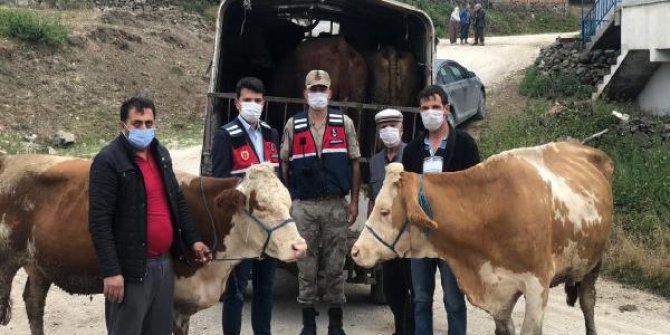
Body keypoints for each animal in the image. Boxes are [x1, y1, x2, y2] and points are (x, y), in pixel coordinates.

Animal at [0, 156, 308, 335]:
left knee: (34, 303)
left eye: (288, 201)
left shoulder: (184, 305)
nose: (300, 246)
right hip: (7, 259)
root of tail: (12, 158)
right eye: (261, 206)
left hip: (39, 263)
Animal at [354, 142, 616, 335]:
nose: (356, 251)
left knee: (588, 303)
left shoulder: (537, 287)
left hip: (594, 262)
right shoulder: (497, 292)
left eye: (384, 211)